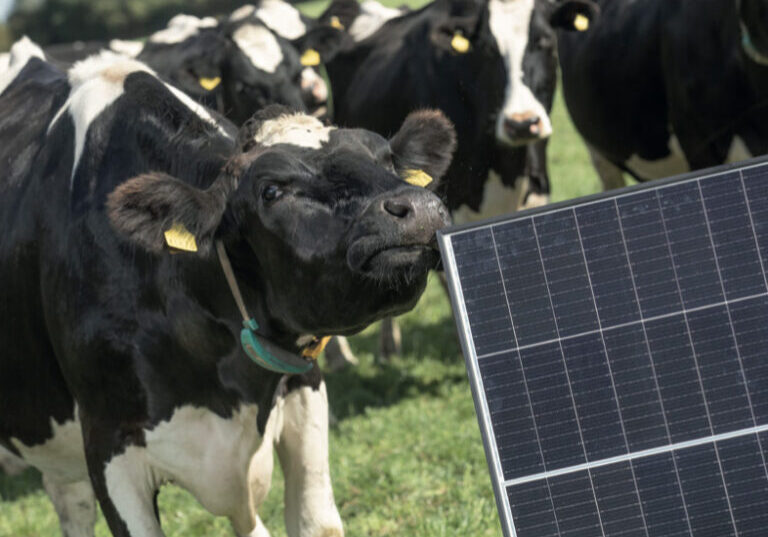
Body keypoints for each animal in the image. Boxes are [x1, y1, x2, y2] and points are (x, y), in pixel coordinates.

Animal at [0, 45, 456, 536]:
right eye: (271, 190)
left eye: (386, 159)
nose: (420, 208)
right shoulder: (109, 444)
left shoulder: (303, 386)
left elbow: (316, 523)